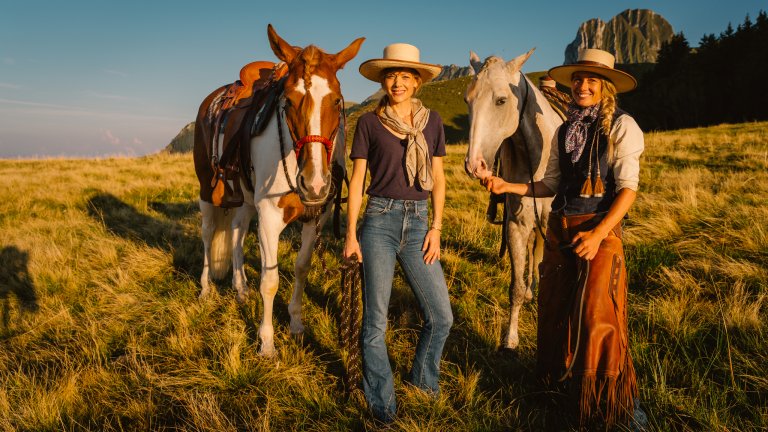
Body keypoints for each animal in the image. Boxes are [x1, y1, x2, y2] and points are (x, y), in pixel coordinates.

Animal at [194, 25, 364, 356]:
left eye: (337, 101)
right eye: (288, 101)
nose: (314, 183)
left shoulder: (316, 217)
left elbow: (301, 268)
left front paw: (296, 323)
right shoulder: (270, 218)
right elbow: (270, 280)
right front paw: (267, 343)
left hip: (245, 201)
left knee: (235, 233)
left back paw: (240, 288)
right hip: (207, 191)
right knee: (208, 235)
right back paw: (206, 288)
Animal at [462, 48, 564, 352]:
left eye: (501, 100)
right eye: (467, 100)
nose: (474, 165)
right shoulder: (517, 224)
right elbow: (516, 287)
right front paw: (510, 339)